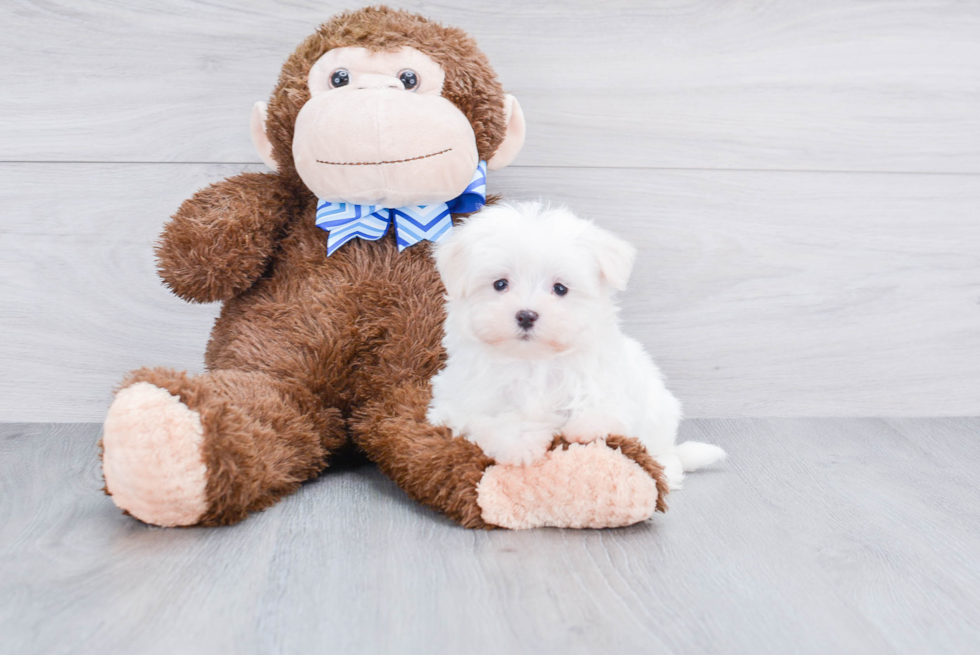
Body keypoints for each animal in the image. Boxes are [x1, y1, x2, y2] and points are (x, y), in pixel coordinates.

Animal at [424, 202, 724, 490]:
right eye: (500, 284)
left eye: (560, 289)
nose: (526, 315)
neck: (533, 361)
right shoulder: (462, 399)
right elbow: (495, 418)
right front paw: (520, 444)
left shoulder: (606, 383)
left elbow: (603, 407)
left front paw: (587, 427)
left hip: (659, 411)